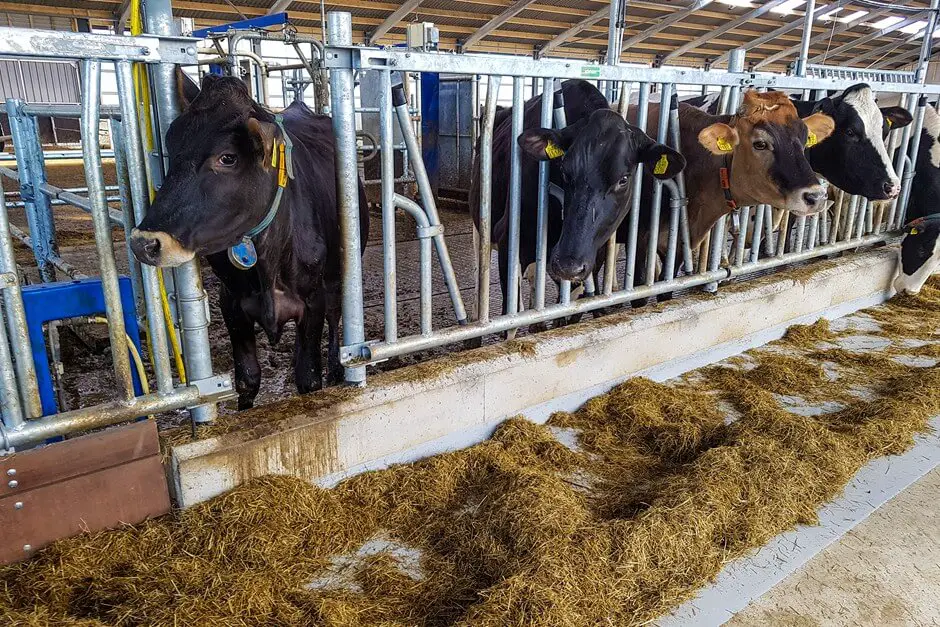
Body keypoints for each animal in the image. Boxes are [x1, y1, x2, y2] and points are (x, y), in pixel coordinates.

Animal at [130, 76, 366, 410]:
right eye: (172, 147)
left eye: (227, 157)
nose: (144, 243)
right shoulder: (231, 303)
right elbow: (248, 378)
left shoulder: (313, 300)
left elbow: (308, 376)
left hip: (336, 280)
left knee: (336, 323)